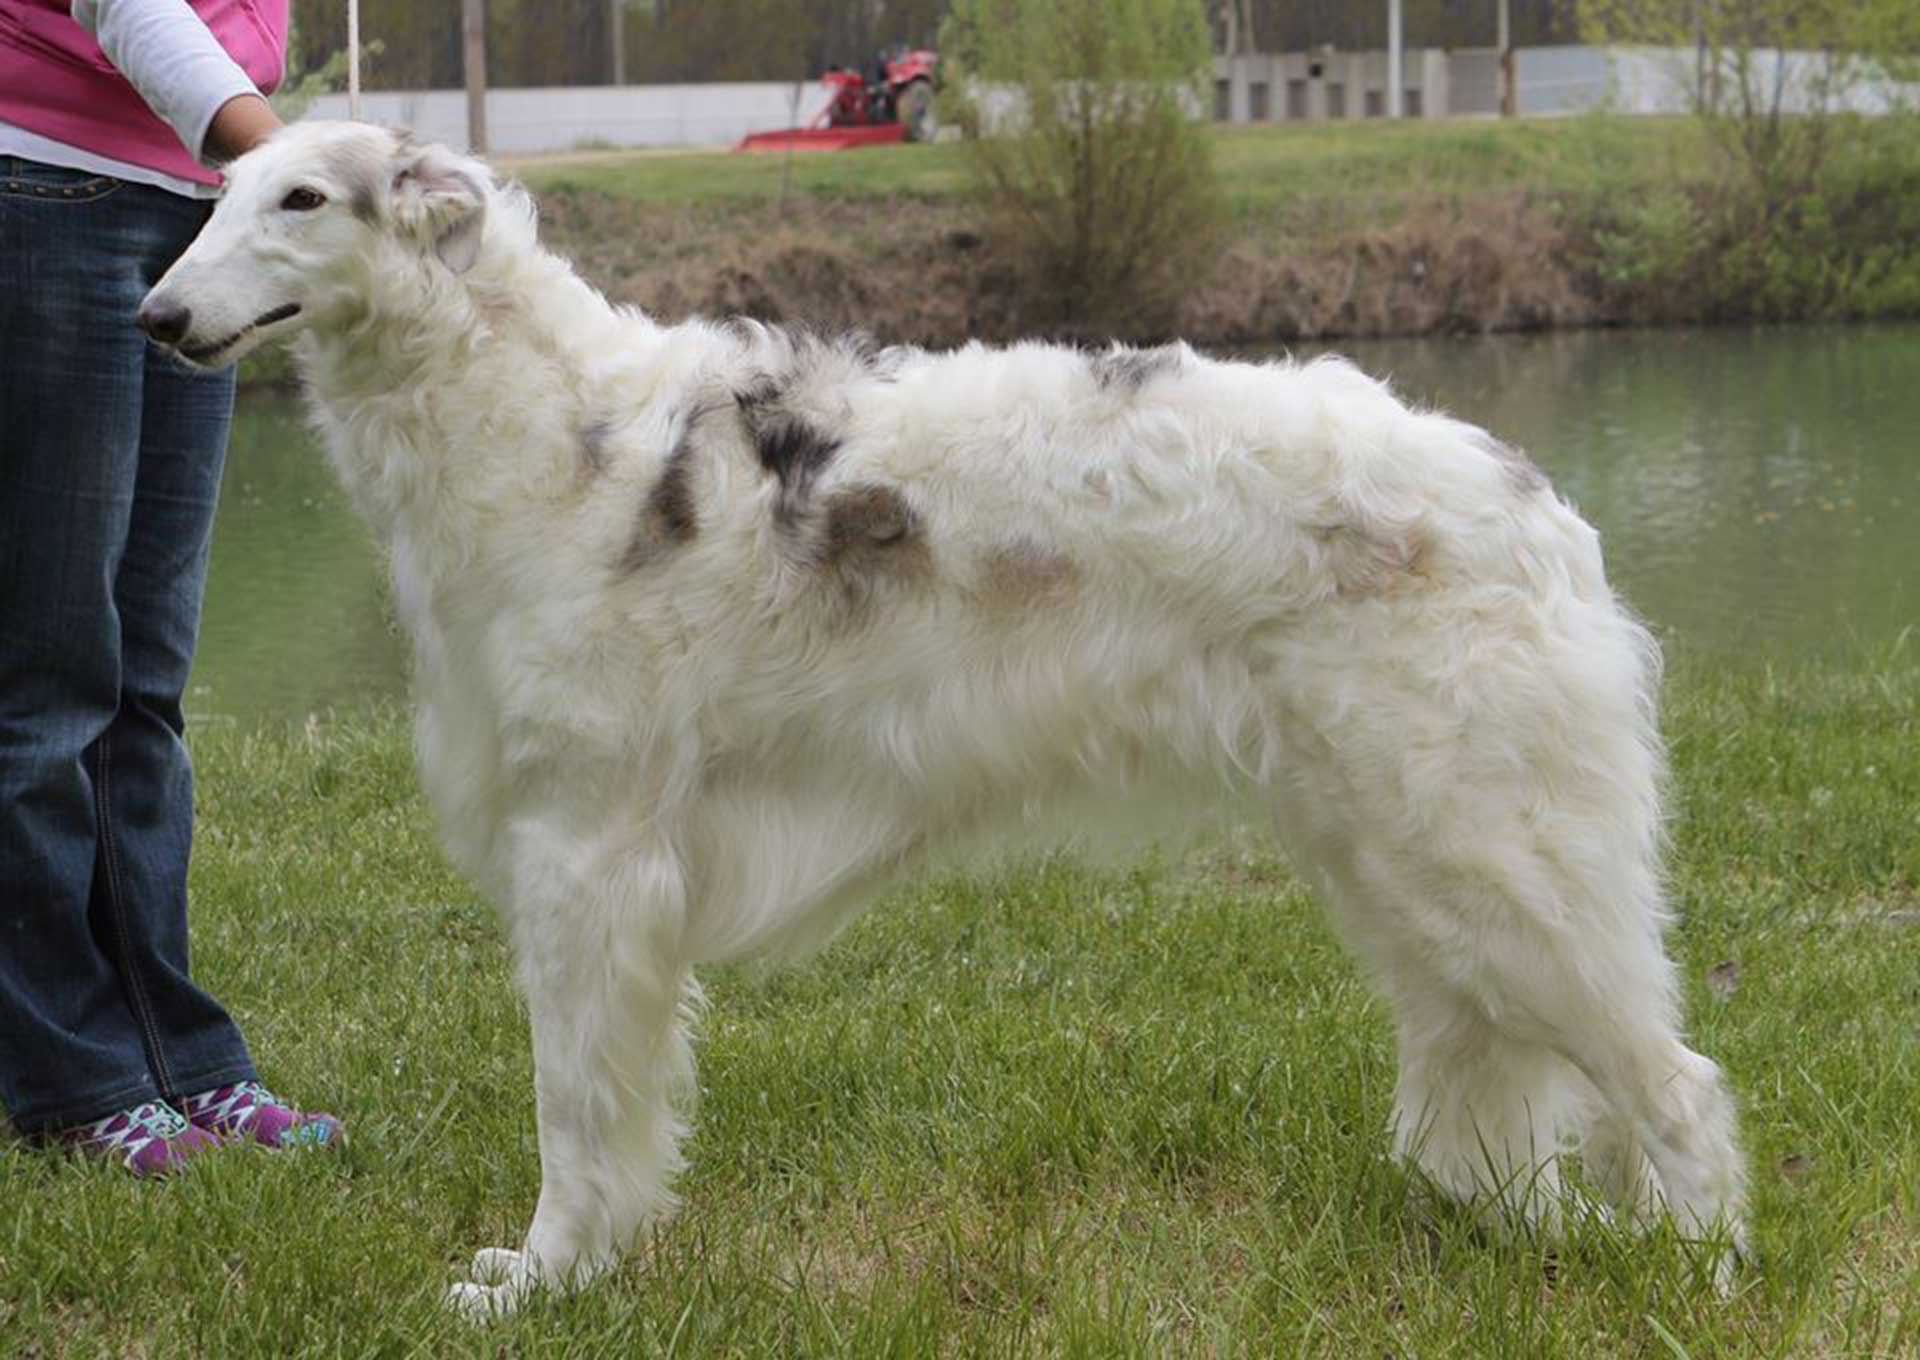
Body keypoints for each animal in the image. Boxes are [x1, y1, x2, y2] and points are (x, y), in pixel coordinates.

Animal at [142, 121, 1751, 1313]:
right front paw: (581, 1264)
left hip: (1488, 856)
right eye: (215, 197)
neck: (560, 436)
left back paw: (1699, 1274)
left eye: (300, 199)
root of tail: (1533, 497)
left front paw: (545, 1277)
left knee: (1679, 1086)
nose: (157, 317)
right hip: (1397, 852)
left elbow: (579, 1105)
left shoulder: (587, 852)